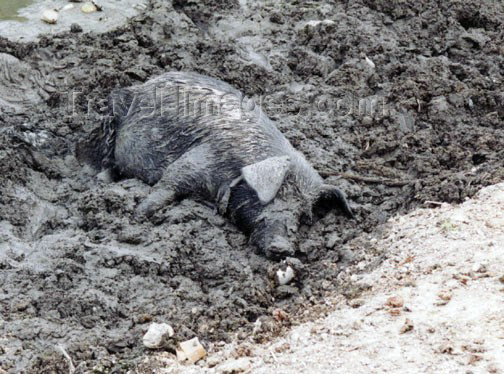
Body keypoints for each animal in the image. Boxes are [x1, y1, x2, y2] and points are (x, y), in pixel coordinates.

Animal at [78, 72, 354, 260]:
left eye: (302, 214)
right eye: (273, 198)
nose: (283, 248)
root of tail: (142, 85)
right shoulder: (197, 159)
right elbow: (168, 184)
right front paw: (137, 215)